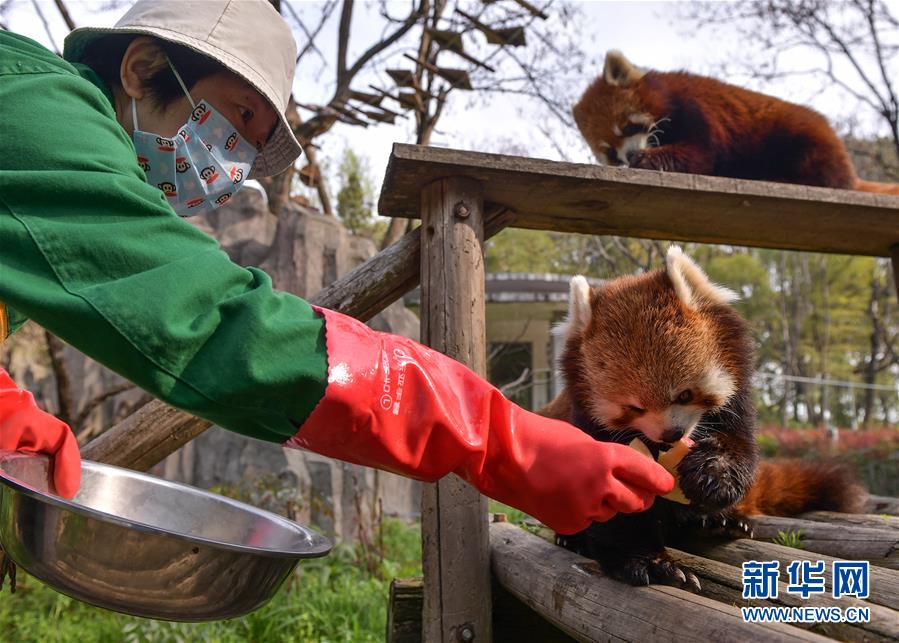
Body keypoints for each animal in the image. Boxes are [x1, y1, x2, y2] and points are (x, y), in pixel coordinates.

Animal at [540, 249, 864, 592]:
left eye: (684, 395)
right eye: (634, 407)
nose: (671, 433)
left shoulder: (736, 402)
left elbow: (736, 447)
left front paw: (713, 474)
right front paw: (648, 562)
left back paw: (717, 520)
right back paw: (571, 538)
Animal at [576, 51, 899, 196]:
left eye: (628, 127)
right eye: (610, 151)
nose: (629, 154)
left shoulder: (697, 107)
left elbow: (701, 153)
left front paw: (647, 158)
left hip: (803, 139)